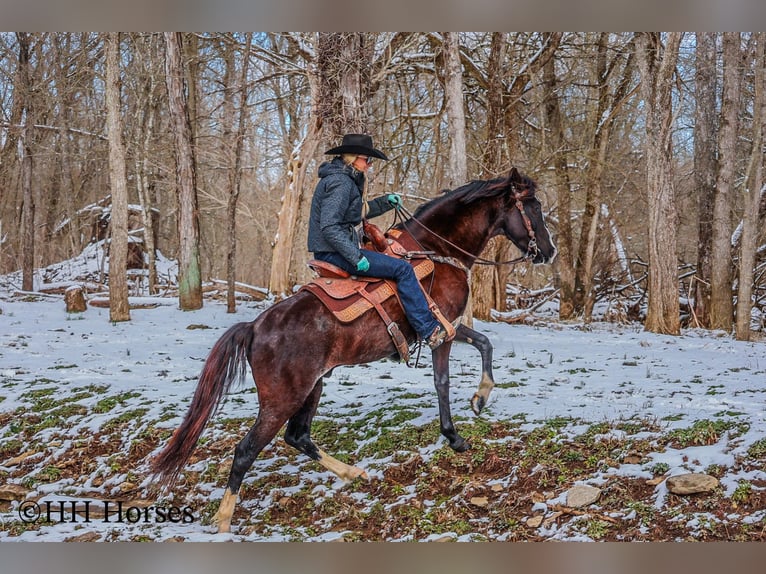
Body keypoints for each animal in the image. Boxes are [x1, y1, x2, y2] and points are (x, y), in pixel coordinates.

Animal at [151, 167, 556, 533]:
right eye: (532, 207)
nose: (549, 251)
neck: (436, 251)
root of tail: (254, 328)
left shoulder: (449, 325)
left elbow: (485, 344)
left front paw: (481, 398)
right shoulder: (439, 332)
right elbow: (442, 382)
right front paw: (454, 437)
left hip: (312, 387)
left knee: (297, 437)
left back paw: (353, 473)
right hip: (282, 399)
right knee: (246, 451)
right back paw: (224, 521)